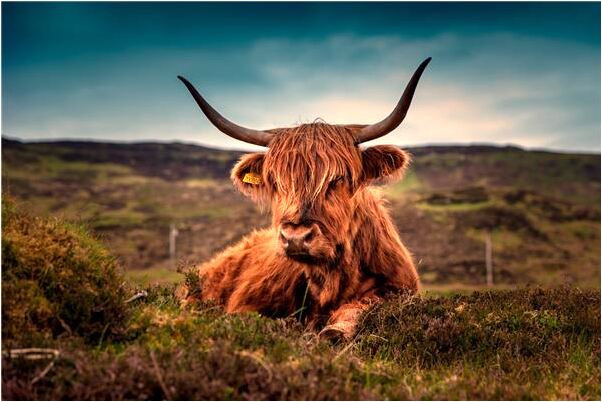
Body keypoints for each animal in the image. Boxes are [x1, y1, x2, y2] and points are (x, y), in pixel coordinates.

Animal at [176, 57, 428, 340]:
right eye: (276, 182)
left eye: (337, 178)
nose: (296, 237)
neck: (330, 280)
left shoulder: (396, 289)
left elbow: (361, 307)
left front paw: (335, 330)